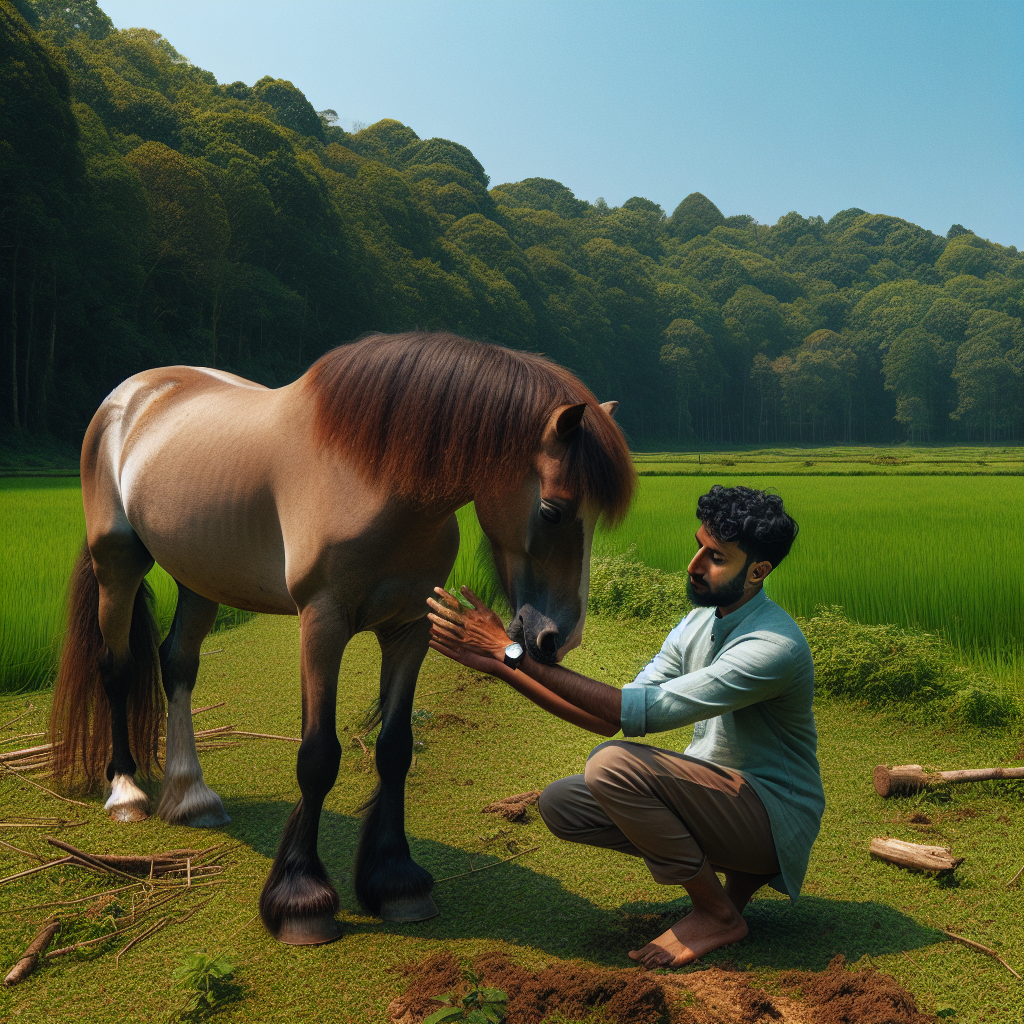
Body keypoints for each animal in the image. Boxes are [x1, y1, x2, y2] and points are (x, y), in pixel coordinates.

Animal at [54, 327, 638, 942]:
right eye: (552, 510)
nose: (558, 639)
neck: (374, 478)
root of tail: (131, 394)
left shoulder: (409, 630)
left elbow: (395, 749)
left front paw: (398, 881)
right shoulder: (323, 624)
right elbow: (318, 756)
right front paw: (301, 899)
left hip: (200, 577)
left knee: (178, 666)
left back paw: (191, 796)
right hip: (118, 563)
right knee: (118, 669)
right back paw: (126, 792)